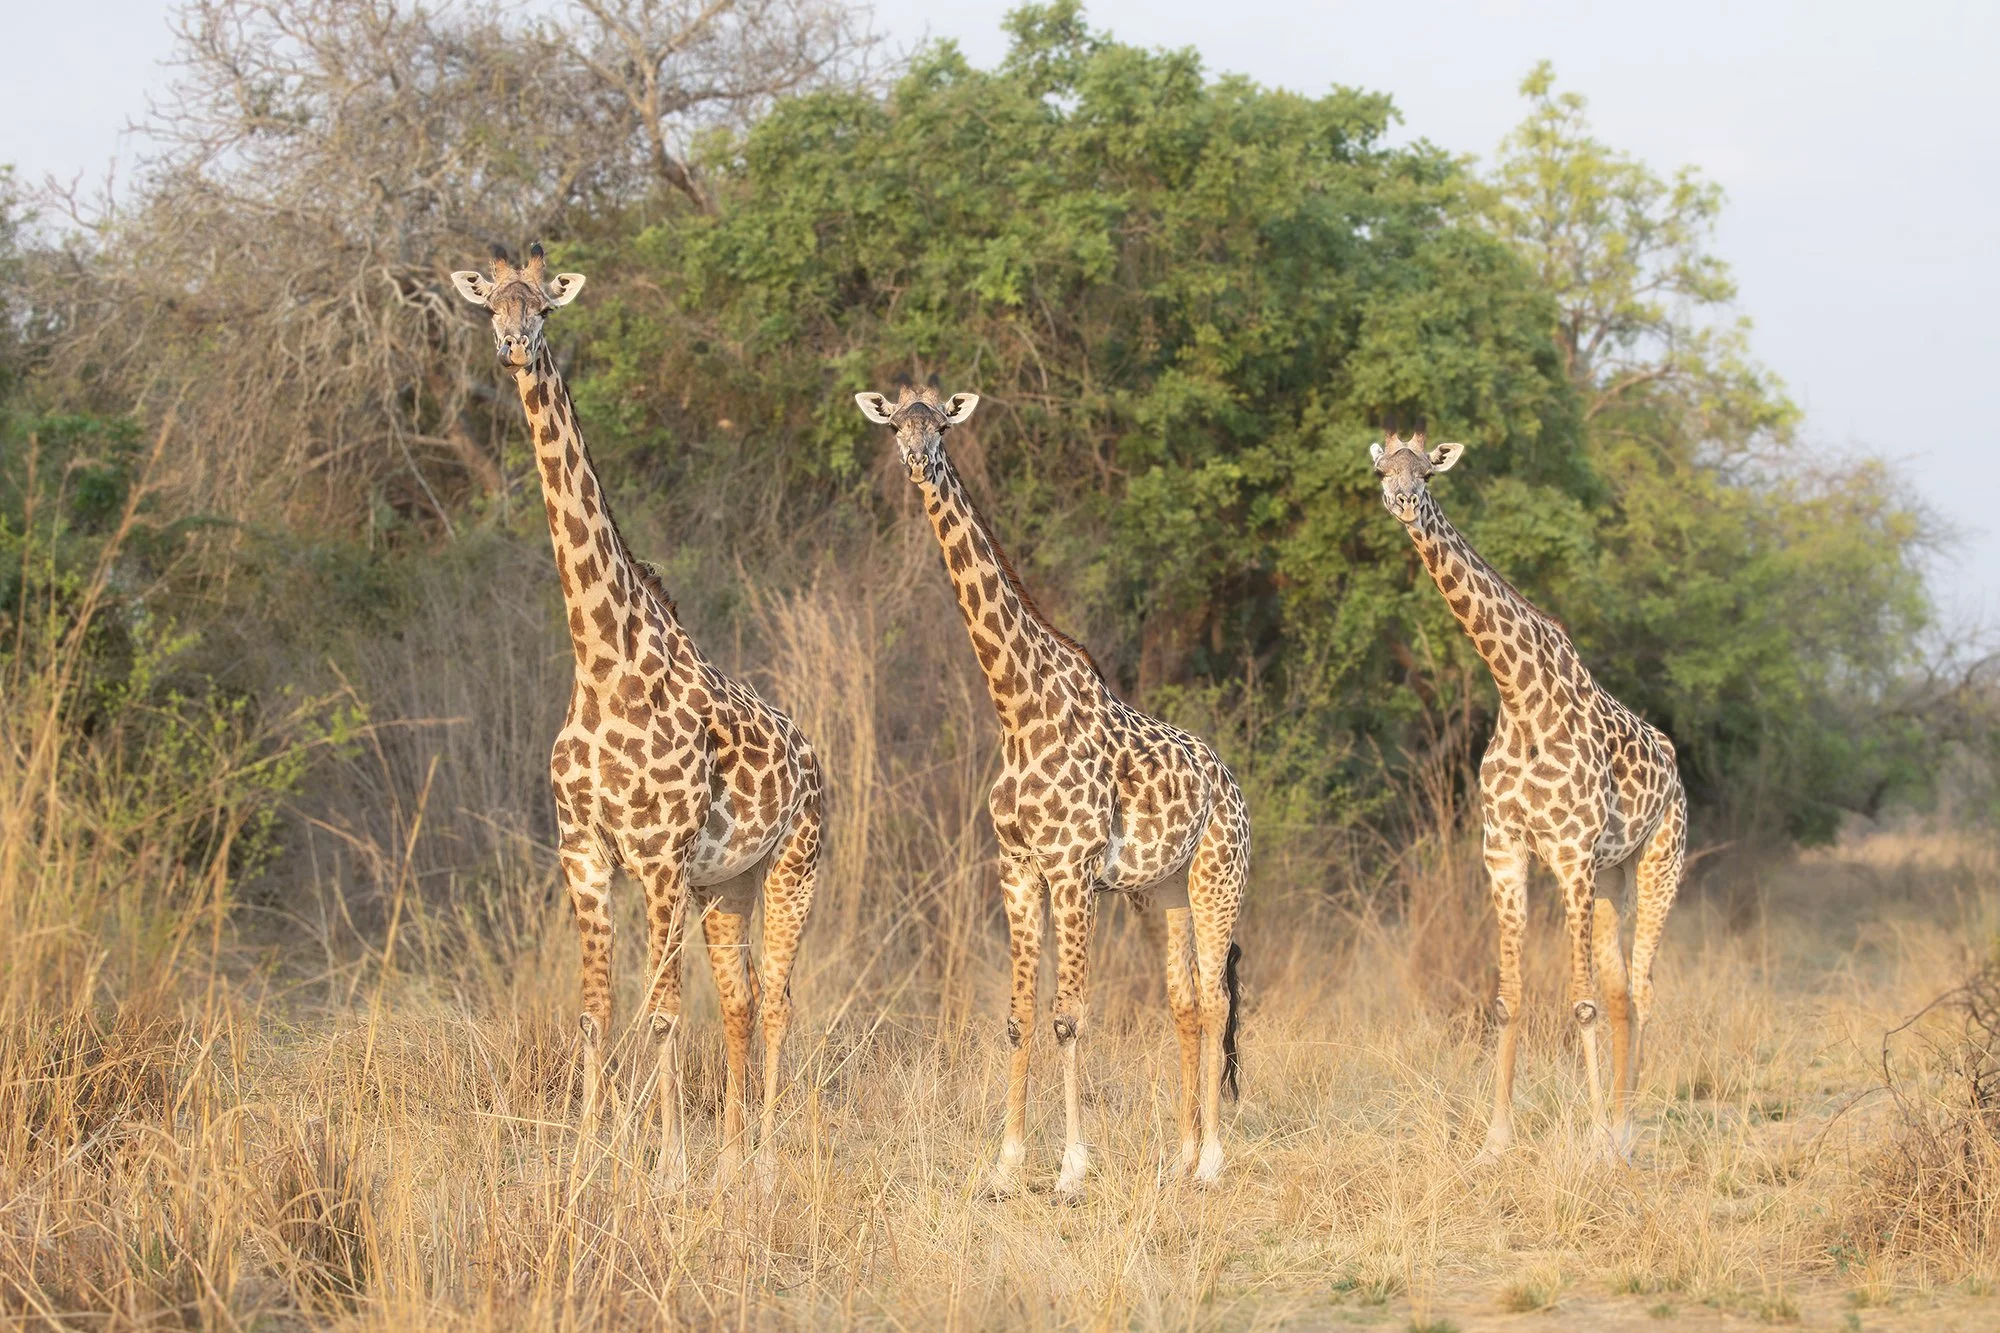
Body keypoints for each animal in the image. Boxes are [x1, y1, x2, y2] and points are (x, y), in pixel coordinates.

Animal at [452, 245, 822, 1187]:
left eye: (545, 307)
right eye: (489, 306)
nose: (512, 347)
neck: (601, 661)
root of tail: (813, 756)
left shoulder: (656, 858)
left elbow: (658, 1011)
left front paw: (665, 1165)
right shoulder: (584, 851)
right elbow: (597, 1011)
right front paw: (590, 1157)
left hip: (794, 866)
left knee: (778, 997)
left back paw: (765, 1158)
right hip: (725, 884)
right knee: (741, 997)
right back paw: (731, 1156)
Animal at [854, 386, 1250, 1200]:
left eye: (941, 424)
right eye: (896, 422)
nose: (916, 460)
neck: (1015, 706)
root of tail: (1232, 785)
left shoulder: (1072, 869)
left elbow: (1069, 1015)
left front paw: (1071, 1168)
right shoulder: (1015, 865)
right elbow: (1019, 1015)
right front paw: (1005, 1165)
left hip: (1218, 877)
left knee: (1219, 1000)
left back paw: (1212, 1162)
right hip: (1160, 894)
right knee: (1187, 1003)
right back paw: (1181, 1157)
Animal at [1371, 430, 1686, 1162]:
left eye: (1426, 473)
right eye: (1381, 470)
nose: (1401, 501)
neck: (1517, 692)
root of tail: (1674, 761)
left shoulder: (1568, 853)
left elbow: (1580, 1000)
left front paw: (1593, 1141)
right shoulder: (1506, 850)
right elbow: (1509, 997)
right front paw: (1495, 1140)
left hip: (1661, 861)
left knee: (1643, 987)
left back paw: (1625, 1134)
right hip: (1612, 876)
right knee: (1624, 990)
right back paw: (1622, 1128)